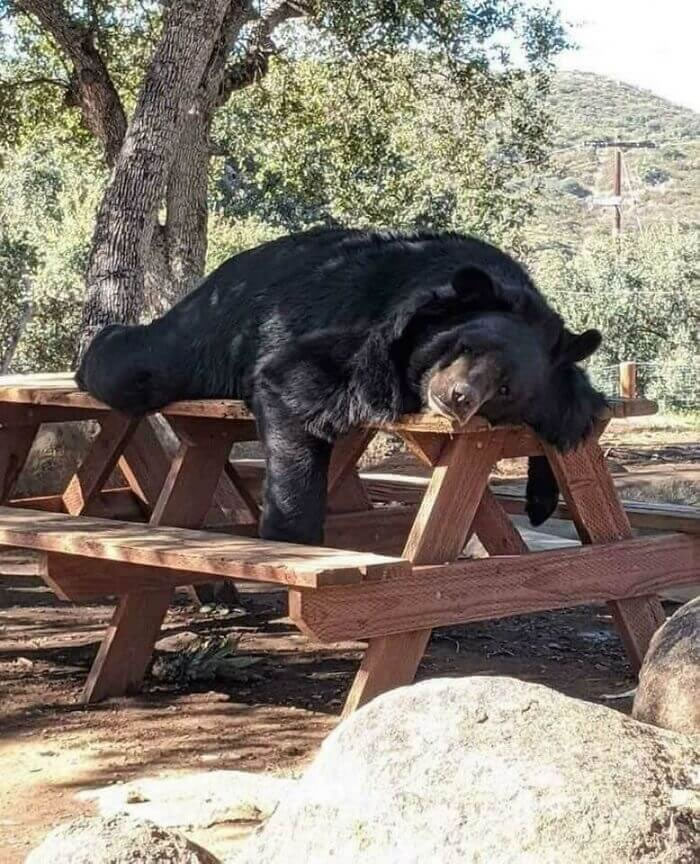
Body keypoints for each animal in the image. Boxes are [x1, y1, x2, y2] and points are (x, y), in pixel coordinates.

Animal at [77, 228, 606, 545]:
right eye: (466, 344)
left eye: (505, 389)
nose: (457, 397)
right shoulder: (369, 335)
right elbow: (296, 383)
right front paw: (291, 535)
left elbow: (576, 413)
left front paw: (542, 499)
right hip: (211, 330)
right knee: (137, 364)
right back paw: (95, 347)